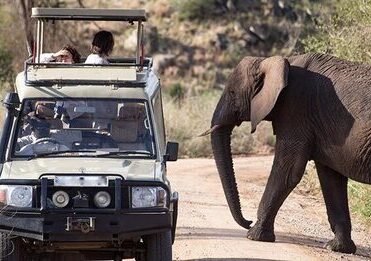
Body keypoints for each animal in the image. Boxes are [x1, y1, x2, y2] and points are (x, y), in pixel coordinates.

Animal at [203, 53, 371, 254]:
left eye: (232, 93)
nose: (247, 221)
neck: (273, 61)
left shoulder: (296, 109)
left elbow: (288, 172)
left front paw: (254, 236)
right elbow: (331, 180)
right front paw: (336, 248)